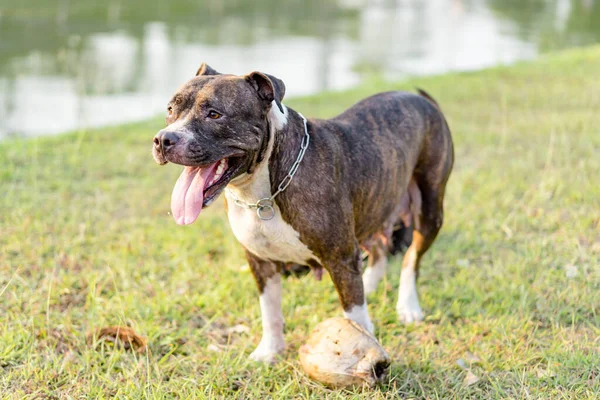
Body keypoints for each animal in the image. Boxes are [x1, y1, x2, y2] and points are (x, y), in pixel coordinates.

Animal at [152, 62, 452, 362]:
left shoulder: (341, 258)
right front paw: (270, 351)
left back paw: (408, 306)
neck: (262, 193)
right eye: (170, 109)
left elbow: (354, 315)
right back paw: (370, 285)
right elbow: (270, 312)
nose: (163, 139)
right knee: (379, 250)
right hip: (375, 207)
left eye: (214, 114)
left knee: (411, 258)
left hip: (429, 210)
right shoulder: (261, 262)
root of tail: (423, 100)